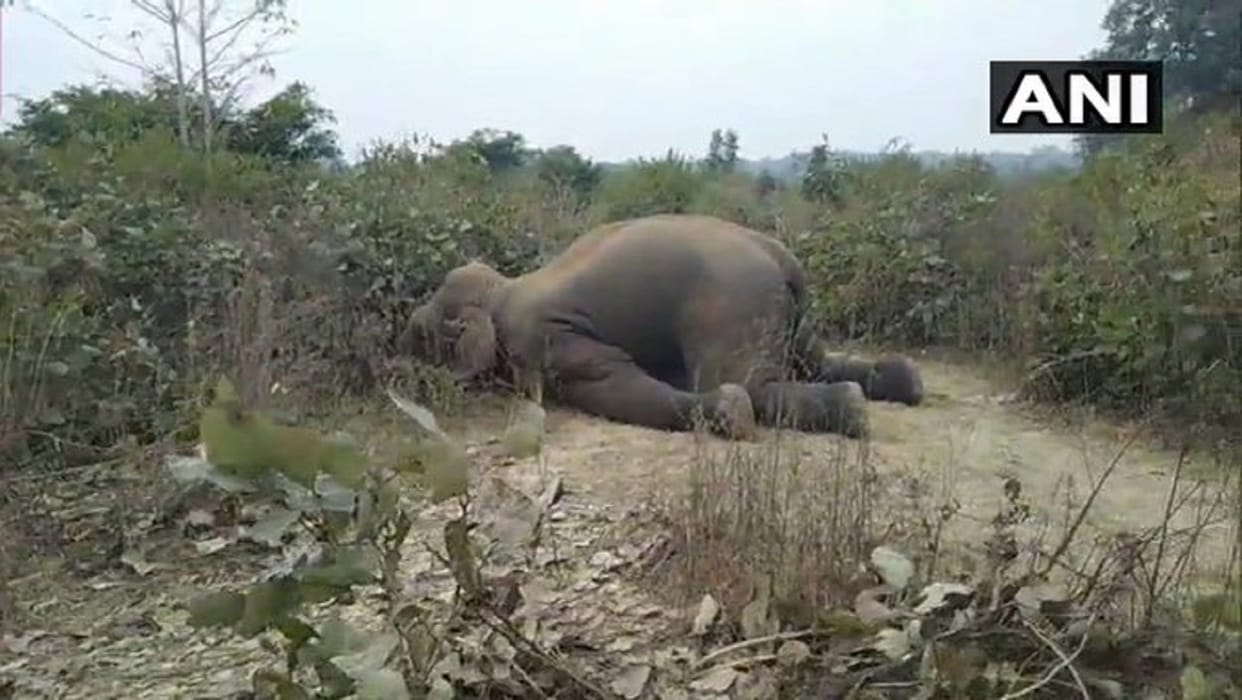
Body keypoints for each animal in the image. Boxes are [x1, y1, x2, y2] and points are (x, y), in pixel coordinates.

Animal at [399, 214, 923, 440]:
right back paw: (904, 383)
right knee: (815, 360)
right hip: (789, 314)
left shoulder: (545, 337)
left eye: (423, 332)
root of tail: (782, 259)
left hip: (732, 306)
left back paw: (848, 410)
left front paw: (731, 413)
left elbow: (607, 384)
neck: (503, 288)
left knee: (748, 382)